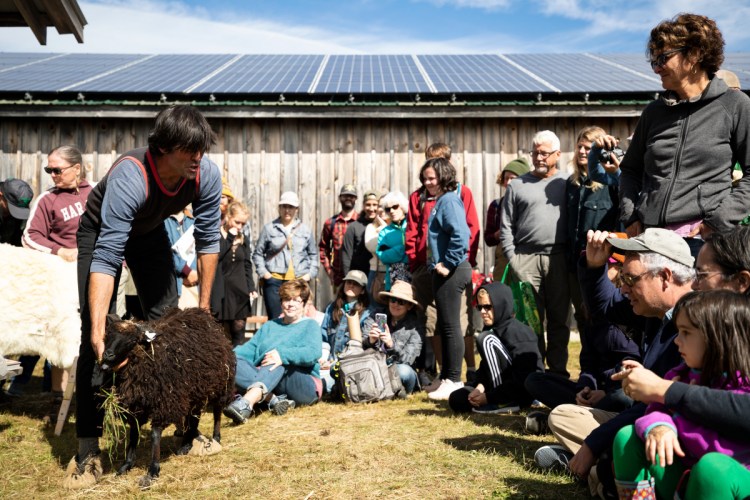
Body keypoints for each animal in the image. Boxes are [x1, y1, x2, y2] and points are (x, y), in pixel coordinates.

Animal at [97, 306, 236, 486]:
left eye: (131, 341)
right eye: (107, 336)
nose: (107, 355)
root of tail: (204, 314)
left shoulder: (164, 403)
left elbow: (155, 435)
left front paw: (153, 471)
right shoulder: (135, 405)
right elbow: (134, 433)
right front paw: (126, 465)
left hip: (220, 384)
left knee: (217, 412)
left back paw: (216, 438)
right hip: (194, 389)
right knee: (194, 416)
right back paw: (186, 444)